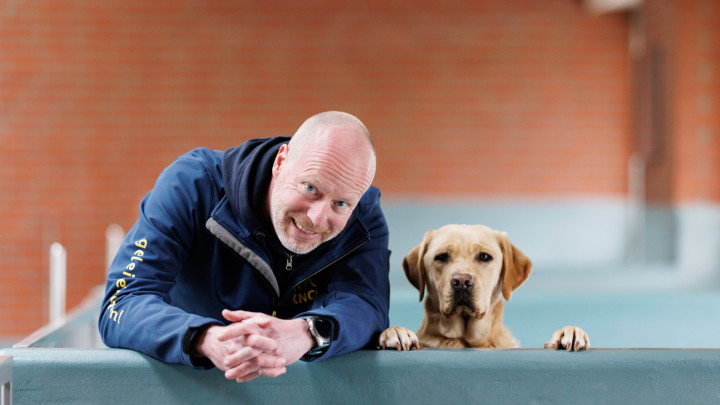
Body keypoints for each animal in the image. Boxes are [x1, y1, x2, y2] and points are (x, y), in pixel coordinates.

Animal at [380, 224, 588, 350]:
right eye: (441, 257)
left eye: (485, 256)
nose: (461, 281)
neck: (468, 341)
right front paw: (395, 332)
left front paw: (568, 332)